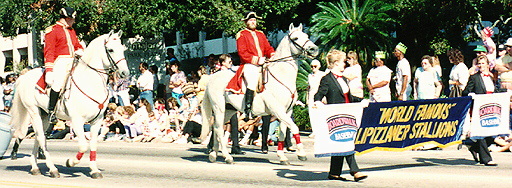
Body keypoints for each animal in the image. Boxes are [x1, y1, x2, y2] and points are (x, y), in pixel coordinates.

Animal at [9, 30, 129, 178]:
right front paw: (70, 162)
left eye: (122, 49)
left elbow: (93, 145)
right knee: (41, 138)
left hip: (44, 116)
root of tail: (24, 76)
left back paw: (35, 167)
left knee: (38, 136)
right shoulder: (77, 120)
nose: (125, 72)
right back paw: (52, 169)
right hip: (33, 112)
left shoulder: (97, 121)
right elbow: (83, 146)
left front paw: (94, 170)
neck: (90, 82)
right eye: (111, 49)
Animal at [200, 23, 316, 164]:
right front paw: (301, 153)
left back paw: (214, 154)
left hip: (228, 110)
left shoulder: (287, 111)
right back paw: (227, 156)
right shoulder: (278, 110)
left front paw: (282, 156)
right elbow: (294, 128)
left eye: (306, 35)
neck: (280, 76)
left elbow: (283, 133)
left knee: (218, 129)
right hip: (219, 108)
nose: (314, 49)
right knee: (217, 128)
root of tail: (212, 77)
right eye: (295, 38)